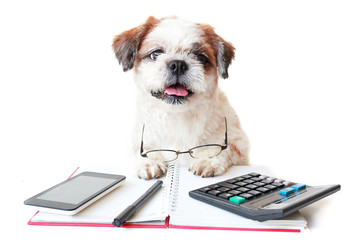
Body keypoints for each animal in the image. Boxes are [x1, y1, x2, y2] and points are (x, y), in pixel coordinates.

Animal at [112, 16, 248, 178]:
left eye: (200, 57)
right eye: (156, 54)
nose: (177, 64)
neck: (177, 117)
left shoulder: (239, 146)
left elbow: (225, 149)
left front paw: (208, 159)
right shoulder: (140, 139)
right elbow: (140, 150)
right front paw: (149, 162)